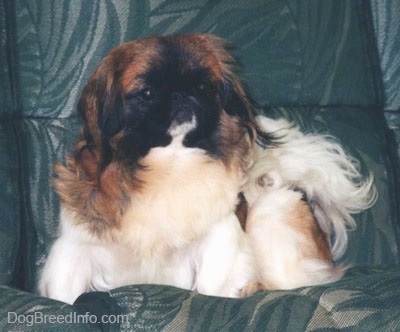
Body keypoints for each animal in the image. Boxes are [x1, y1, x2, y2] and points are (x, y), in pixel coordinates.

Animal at [37, 33, 376, 304]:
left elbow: (212, 285)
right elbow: (64, 296)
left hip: (272, 213)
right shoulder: (76, 247)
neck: (170, 166)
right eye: (147, 93)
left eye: (202, 86)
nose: (182, 94)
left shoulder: (220, 238)